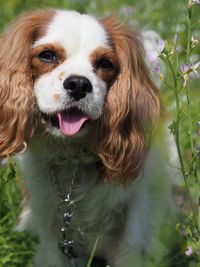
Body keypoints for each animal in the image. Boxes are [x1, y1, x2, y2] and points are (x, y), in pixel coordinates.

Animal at [0, 8, 172, 267]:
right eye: (47, 56)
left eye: (104, 63)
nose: (79, 84)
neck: (73, 159)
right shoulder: (51, 224)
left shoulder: (138, 208)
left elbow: (131, 248)